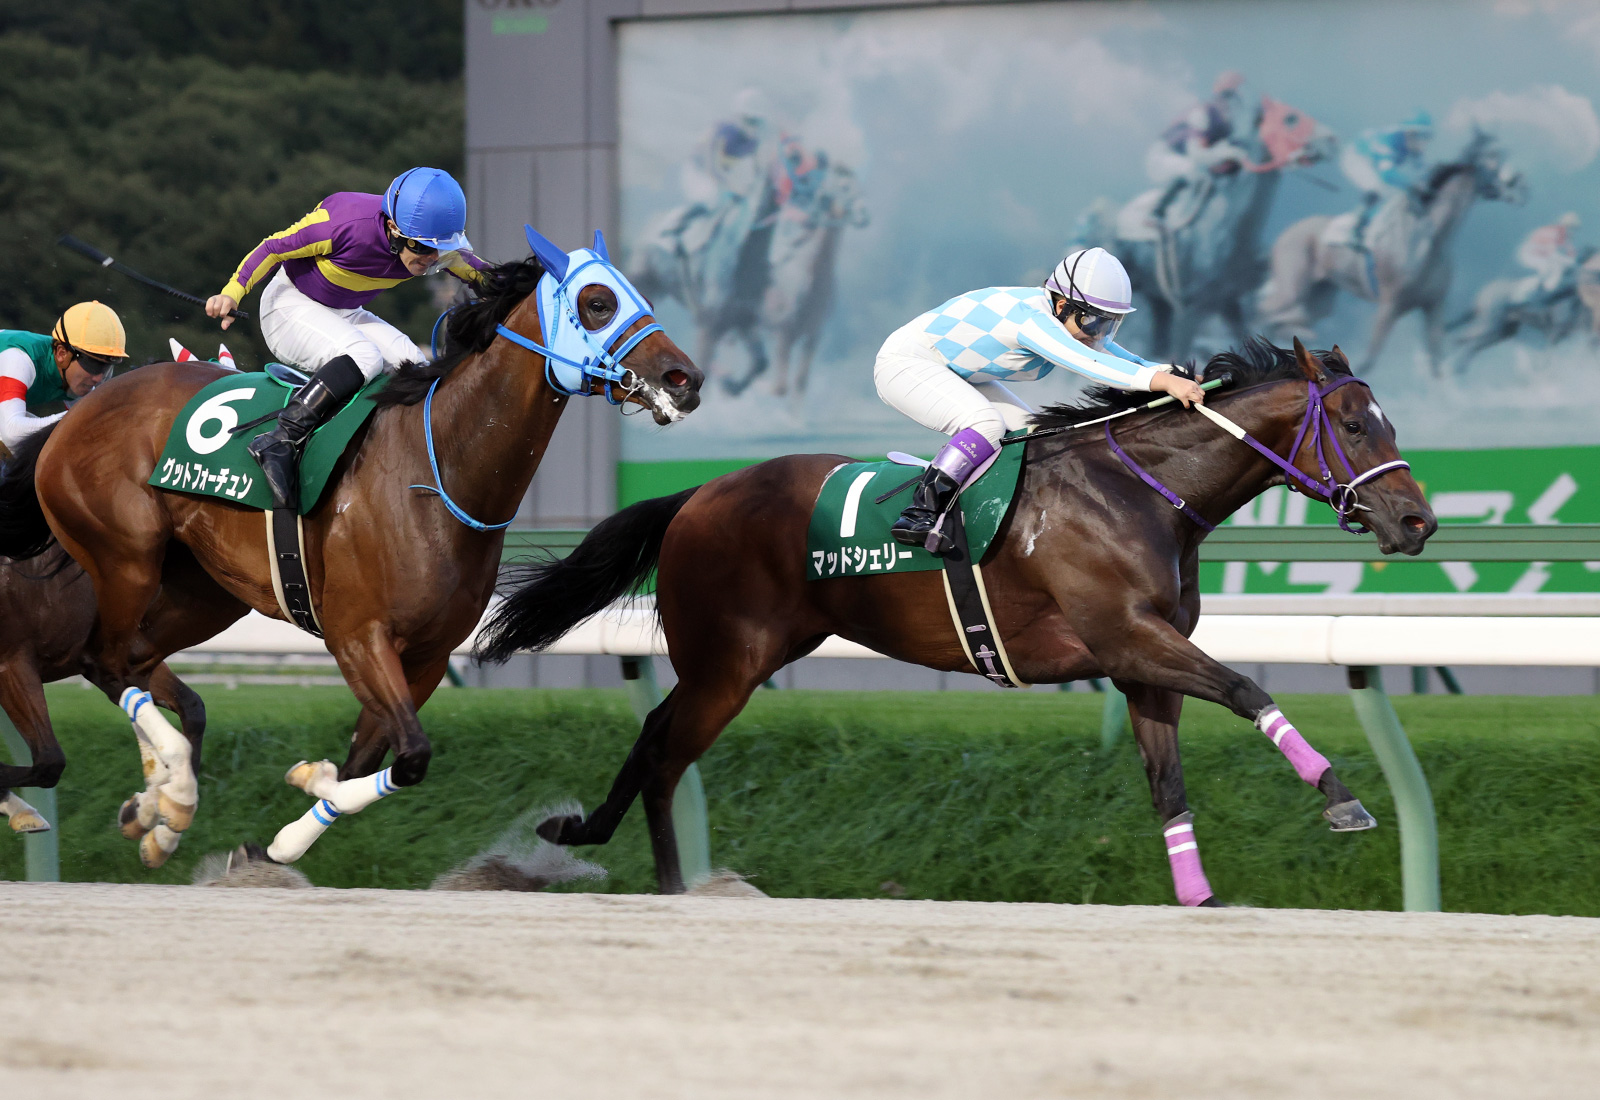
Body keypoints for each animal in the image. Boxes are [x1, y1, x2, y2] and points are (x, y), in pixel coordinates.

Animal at [473, 337, 1440, 901]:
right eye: (1356, 425)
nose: (1418, 522)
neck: (1140, 492)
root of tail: (698, 496)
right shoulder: (1129, 637)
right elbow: (1245, 689)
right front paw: (1343, 800)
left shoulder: (1139, 663)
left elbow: (1168, 783)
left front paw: (1199, 901)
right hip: (728, 662)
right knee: (666, 756)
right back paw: (668, 887)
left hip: (736, 658)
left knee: (654, 741)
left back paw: (607, 849)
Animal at [1081, 95, 1331, 361]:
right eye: (1290, 118)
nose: (1331, 139)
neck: (1229, 236)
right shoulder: (1190, 310)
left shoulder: (1229, 303)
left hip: (1159, 301)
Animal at [1260, 130, 1523, 374]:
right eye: (1492, 159)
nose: (1519, 183)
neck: (1430, 241)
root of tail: (1287, 232)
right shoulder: (1389, 307)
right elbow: (1367, 362)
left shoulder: (1434, 307)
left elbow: (1437, 363)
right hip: (1293, 289)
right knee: (1264, 311)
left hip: (1319, 300)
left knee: (1285, 320)